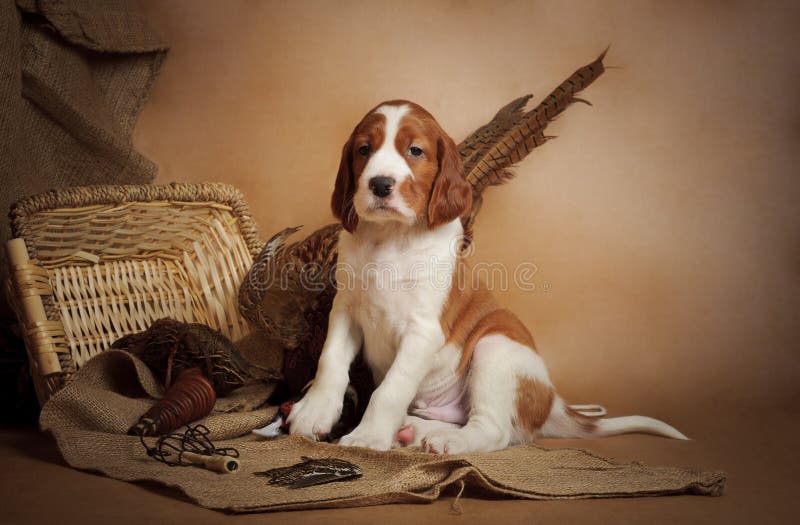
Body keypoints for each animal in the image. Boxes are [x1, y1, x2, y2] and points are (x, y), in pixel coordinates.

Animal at [284, 100, 684, 452]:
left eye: (415, 150)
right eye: (364, 149)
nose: (380, 184)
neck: (391, 238)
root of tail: (552, 401)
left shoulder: (423, 332)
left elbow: (390, 389)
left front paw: (368, 437)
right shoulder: (345, 310)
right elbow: (331, 363)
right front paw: (313, 413)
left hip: (495, 347)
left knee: (494, 430)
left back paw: (449, 441)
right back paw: (415, 429)